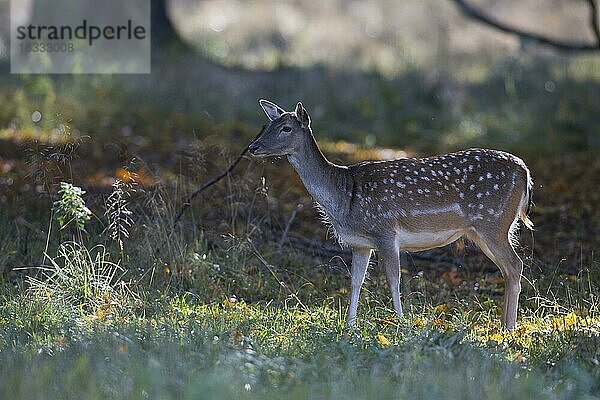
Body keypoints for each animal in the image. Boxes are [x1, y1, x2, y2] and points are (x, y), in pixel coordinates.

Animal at [248, 98, 536, 330]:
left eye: (286, 128)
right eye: (268, 125)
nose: (253, 147)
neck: (345, 197)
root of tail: (525, 171)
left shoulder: (386, 231)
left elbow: (394, 279)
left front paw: (400, 322)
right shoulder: (360, 244)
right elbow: (355, 281)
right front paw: (350, 326)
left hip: (493, 221)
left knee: (515, 265)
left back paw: (509, 328)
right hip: (485, 230)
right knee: (509, 268)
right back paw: (504, 325)